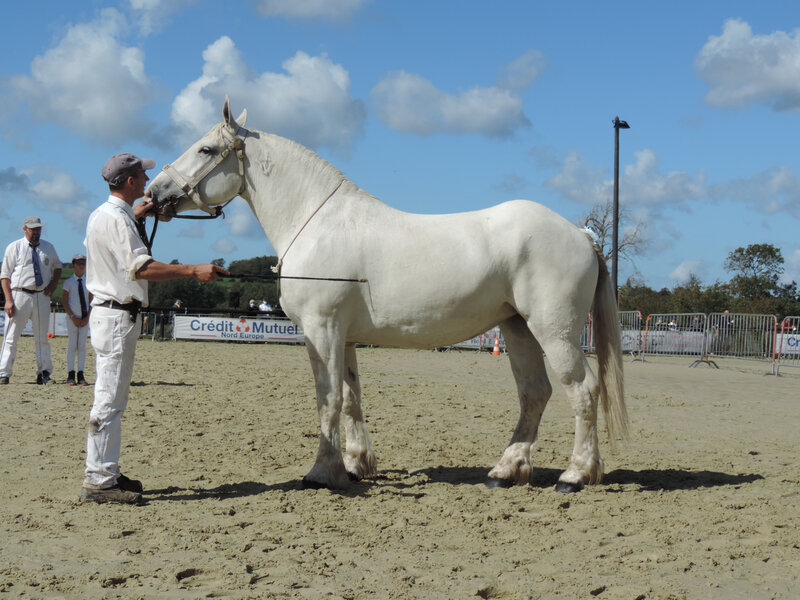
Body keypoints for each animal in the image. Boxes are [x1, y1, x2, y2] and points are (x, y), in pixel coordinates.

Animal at [147, 97, 628, 492]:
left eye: (205, 150)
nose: (154, 193)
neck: (317, 222)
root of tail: (581, 235)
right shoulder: (343, 336)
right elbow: (351, 399)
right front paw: (356, 465)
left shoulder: (322, 330)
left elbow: (328, 400)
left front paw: (322, 473)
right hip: (517, 328)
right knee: (535, 393)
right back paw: (505, 470)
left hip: (554, 331)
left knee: (582, 390)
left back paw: (575, 474)